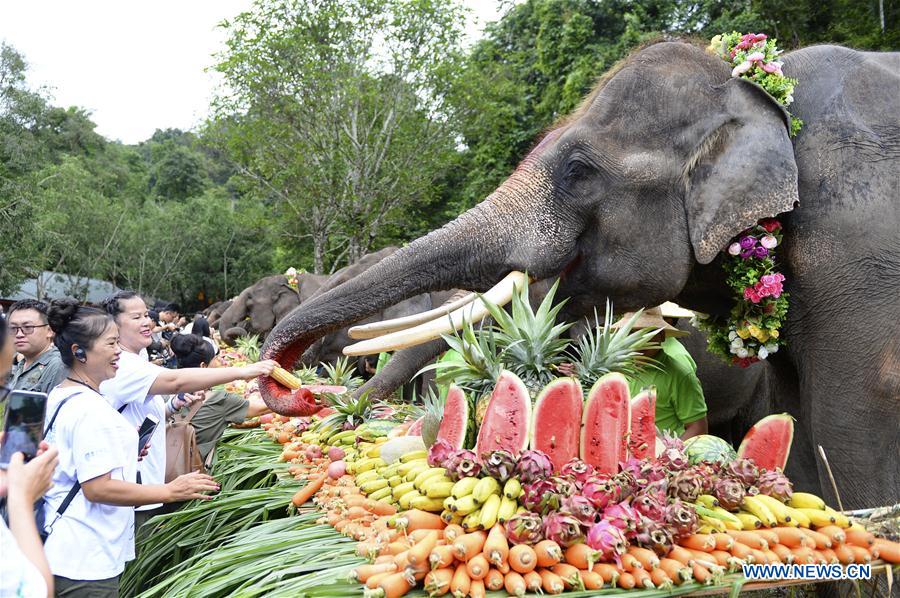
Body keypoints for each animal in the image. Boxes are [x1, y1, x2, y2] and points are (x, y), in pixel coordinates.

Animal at [259, 41, 899, 510]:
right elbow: (797, 429)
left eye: (577, 171)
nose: (304, 394)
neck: (757, 94)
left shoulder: (858, 250)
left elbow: (856, 417)